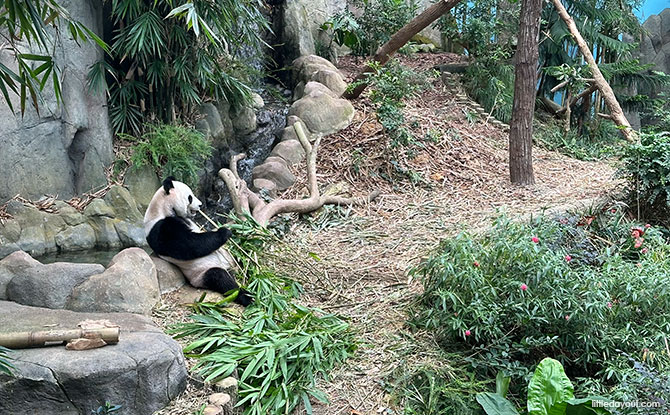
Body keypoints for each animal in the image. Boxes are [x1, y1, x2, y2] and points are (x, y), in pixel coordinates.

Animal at [144, 177, 255, 308]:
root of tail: (233, 270)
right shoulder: (161, 229)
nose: (201, 205)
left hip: (232, 258)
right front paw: (224, 232)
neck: (160, 209)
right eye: (190, 197)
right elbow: (190, 245)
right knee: (222, 279)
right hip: (201, 274)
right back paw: (247, 297)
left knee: (242, 259)